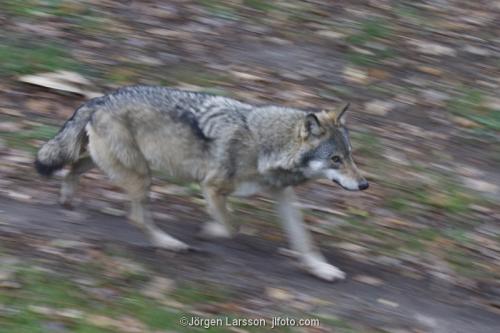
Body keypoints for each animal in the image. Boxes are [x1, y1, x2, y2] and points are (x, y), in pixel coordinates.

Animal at [35, 85, 370, 280]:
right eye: (335, 159)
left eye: (350, 155)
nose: (365, 185)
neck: (265, 146)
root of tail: (100, 98)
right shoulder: (212, 187)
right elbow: (233, 226)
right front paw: (210, 231)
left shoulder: (283, 196)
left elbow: (304, 240)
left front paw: (321, 269)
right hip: (141, 175)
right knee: (137, 217)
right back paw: (169, 243)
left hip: (109, 163)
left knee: (73, 169)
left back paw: (68, 201)